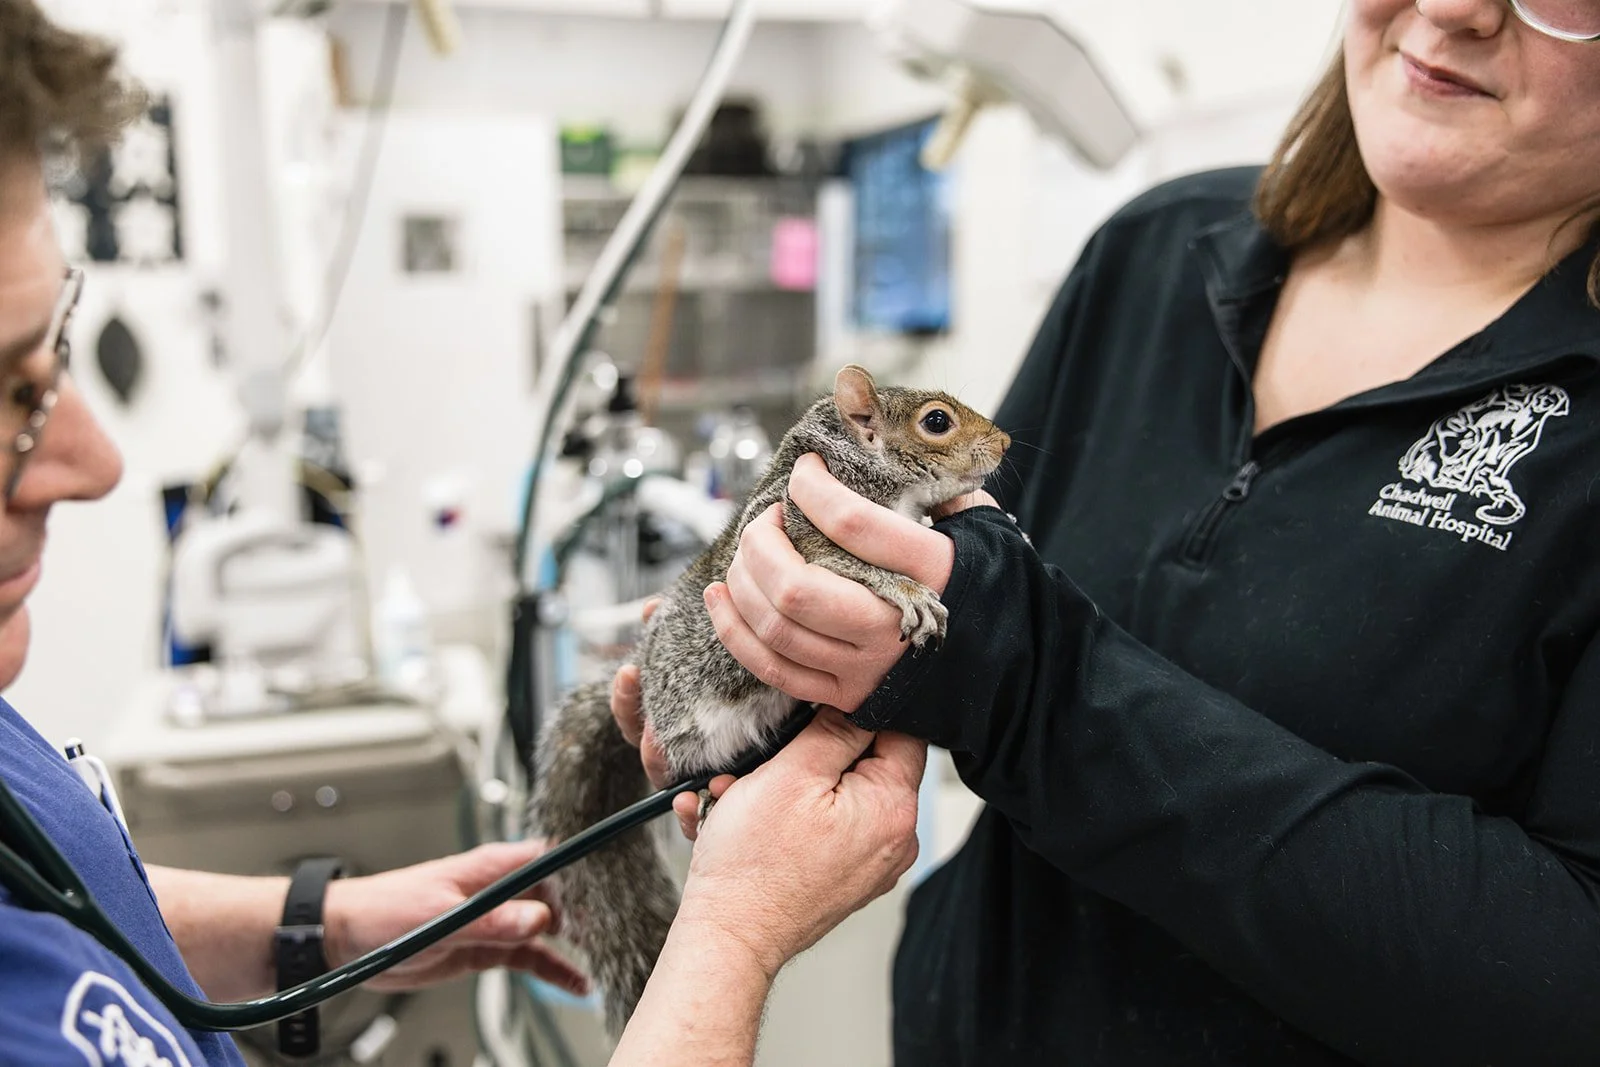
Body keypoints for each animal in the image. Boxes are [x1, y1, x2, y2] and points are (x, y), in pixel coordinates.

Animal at [528, 364, 1010, 1037]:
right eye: (936, 421)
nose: (1006, 444)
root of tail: (642, 682)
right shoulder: (790, 523)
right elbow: (845, 561)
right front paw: (907, 588)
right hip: (689, 733)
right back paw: (709, 791)